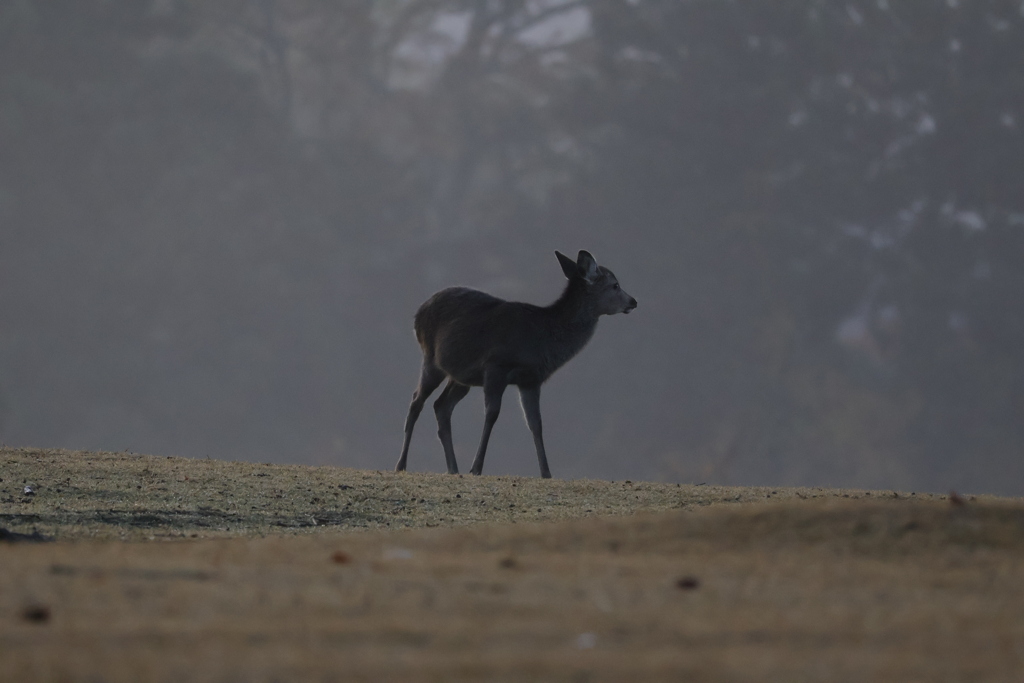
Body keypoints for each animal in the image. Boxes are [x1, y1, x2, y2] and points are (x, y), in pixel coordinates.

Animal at [391, 248, 630, 479]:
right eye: (615, 285)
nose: (633, 301)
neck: (541, 339)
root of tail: (417, 314)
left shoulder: (531, 380)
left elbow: (536, 423)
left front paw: (546, 472)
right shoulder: (496, 366)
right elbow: (492, 414)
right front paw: (476, 467)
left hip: (460, 376)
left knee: (441, 406)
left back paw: (453, 468)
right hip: (431, 359)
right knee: (416, 401)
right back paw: (401, 464)